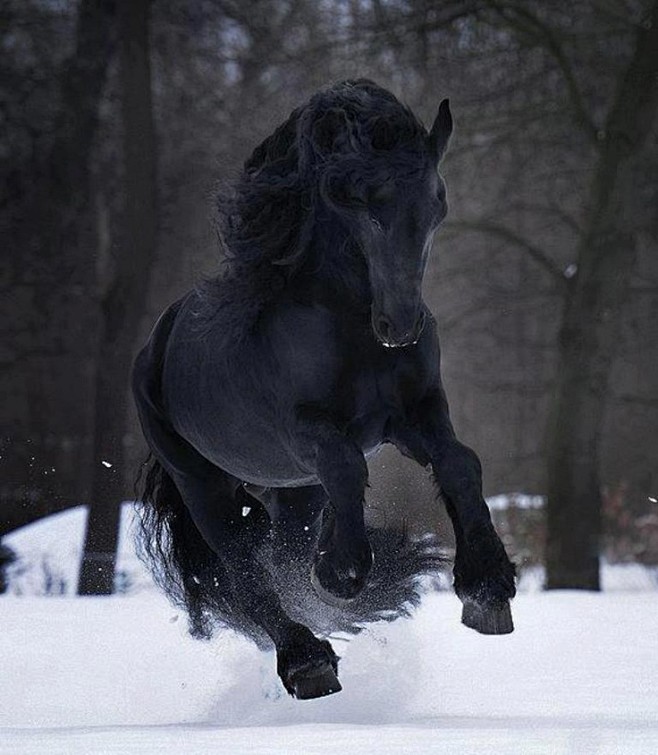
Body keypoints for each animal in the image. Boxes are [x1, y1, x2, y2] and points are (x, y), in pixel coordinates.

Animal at [133, 79, 516, 701]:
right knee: (244, 574)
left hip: (291, 492)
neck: (349, 325)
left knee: (279, 553)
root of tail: (155, 347)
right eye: (363, 206)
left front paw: (487, 588)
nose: (400, 326)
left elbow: (460, 462)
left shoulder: (414, 415)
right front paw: (339, 573)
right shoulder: (304, 429)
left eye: (437, 205)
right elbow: (346, 464)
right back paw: (307, 661)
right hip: (204, 485)